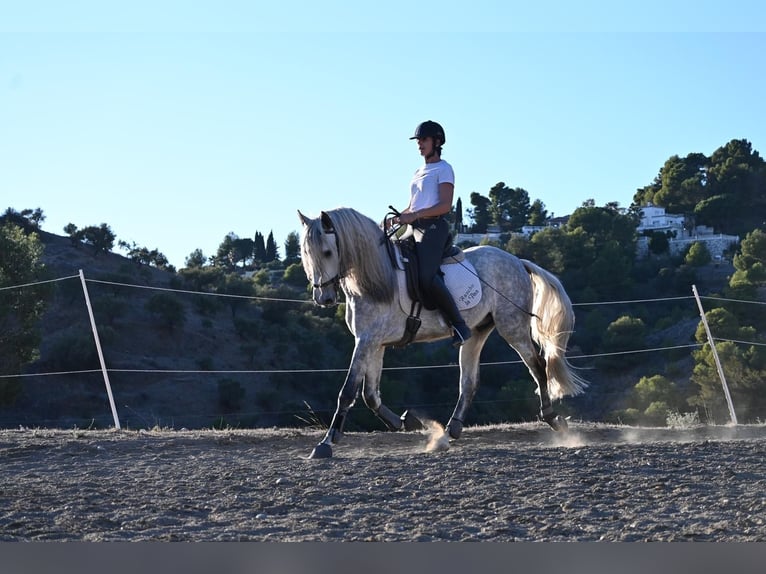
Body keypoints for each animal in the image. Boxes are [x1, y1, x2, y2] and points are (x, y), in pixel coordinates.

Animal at [300, 209, 588, 462]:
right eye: (305, 253)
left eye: (327, 252)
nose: (323, 298)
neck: (375, 280)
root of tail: (517, 261)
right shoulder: (373, 342)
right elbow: (370, 394)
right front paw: (404, 421)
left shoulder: (367, 341)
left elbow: (348, 391)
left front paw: (326, 443)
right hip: (477, 332)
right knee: (469, 382)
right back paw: (449, 432)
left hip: (512, 327)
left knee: (538, 366)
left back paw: (552, 418)